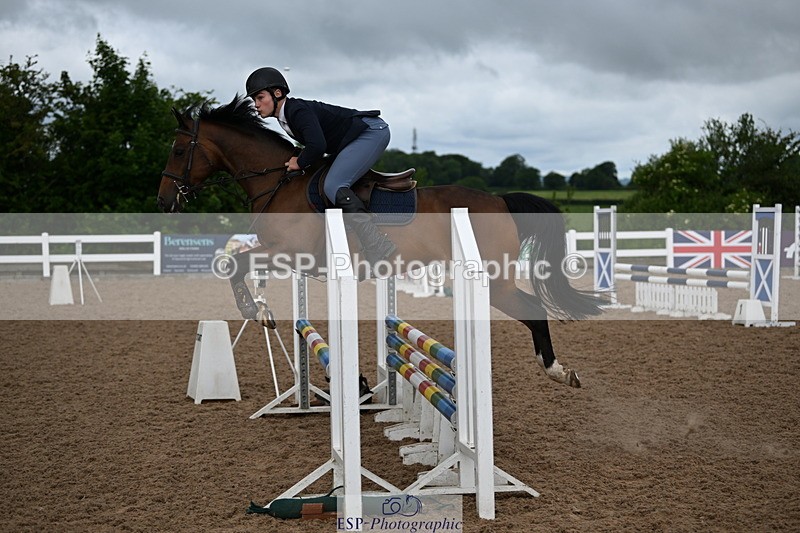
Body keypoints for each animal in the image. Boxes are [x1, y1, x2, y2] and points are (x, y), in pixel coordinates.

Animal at [157, 96, 603, 388]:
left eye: (178, 150)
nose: (164, 202)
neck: (278, 182)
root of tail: (499, 200)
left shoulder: (287, 253)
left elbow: (234, 264)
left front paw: (253, 310)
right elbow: (235, 264)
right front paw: (262, 313)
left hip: (495, 281)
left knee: (533, 310)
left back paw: (557, 370)